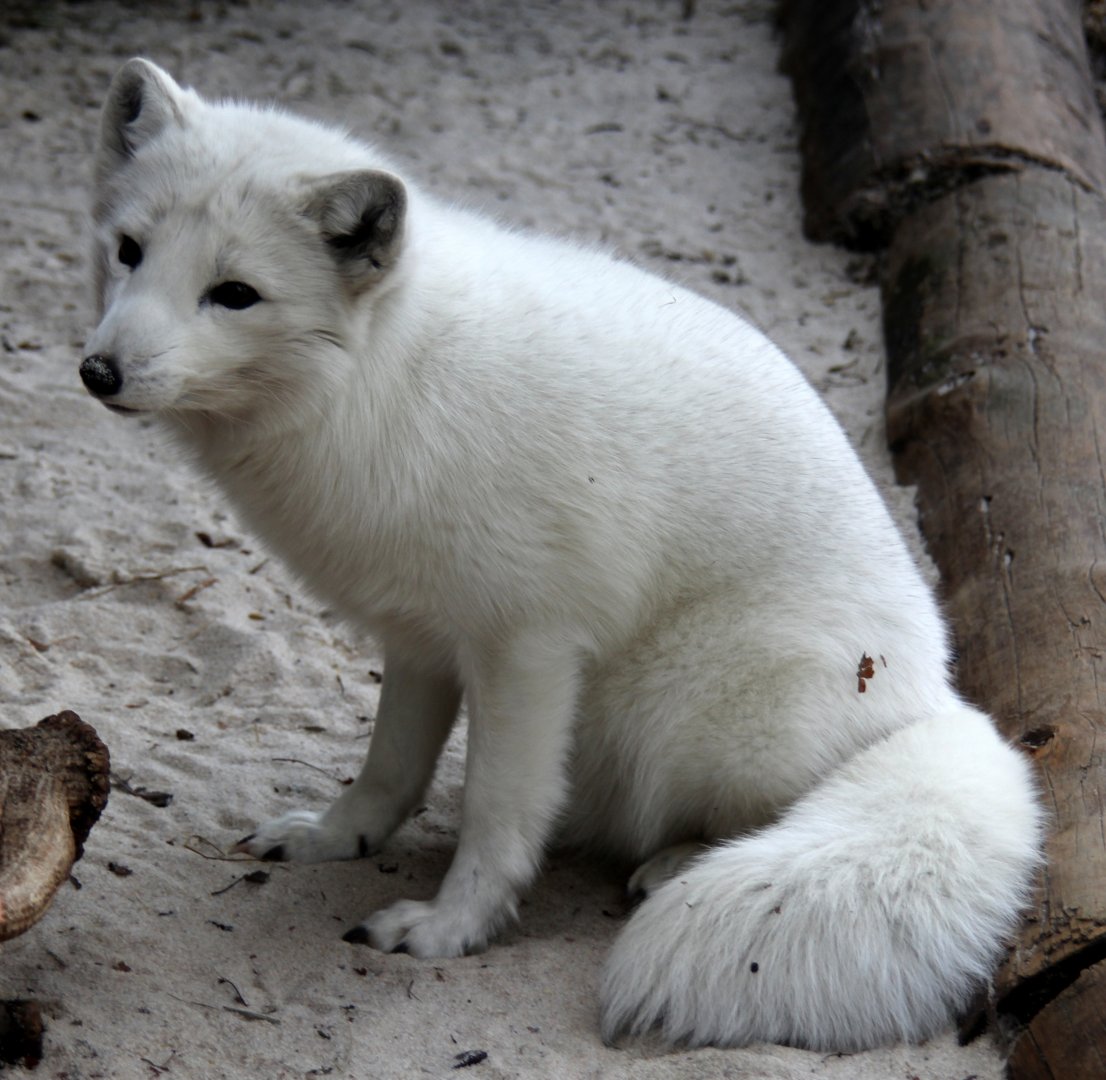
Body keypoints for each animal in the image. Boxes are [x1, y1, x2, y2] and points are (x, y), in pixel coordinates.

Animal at [80, 58, 1041, 1052]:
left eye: (234, 293)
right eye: (129, 250)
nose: (98, 372)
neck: (388, 378)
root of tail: (937, 703)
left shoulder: (528, 647)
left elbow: (496, 810)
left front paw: (449, 929)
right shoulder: (419, 636)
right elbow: (390, 768)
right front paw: (340, 838)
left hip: (683, 707)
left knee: (771, 812)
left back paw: (682, 862)